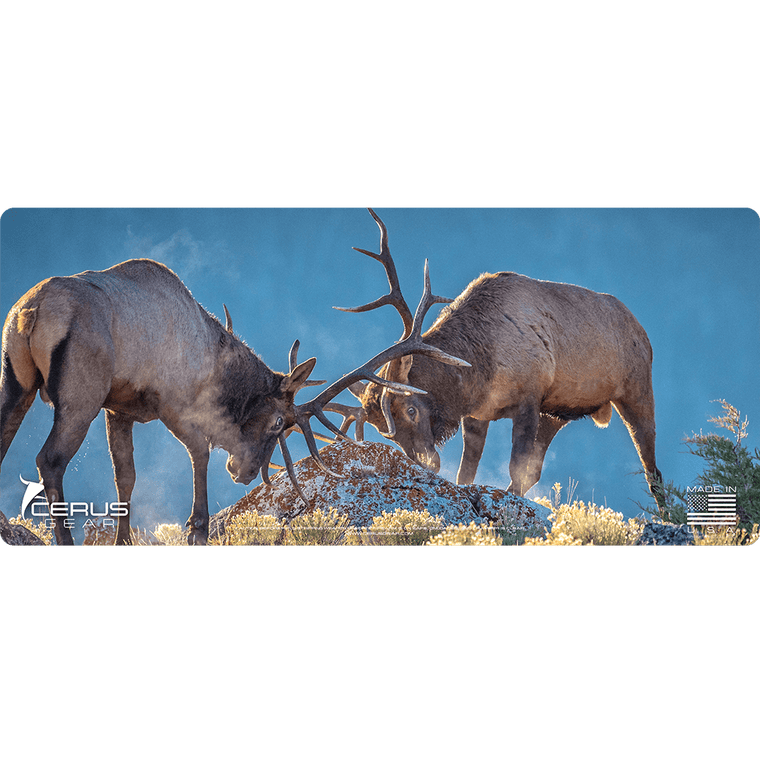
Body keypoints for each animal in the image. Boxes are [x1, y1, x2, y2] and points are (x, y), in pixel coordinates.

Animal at [0, 257, 466, 547]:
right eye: (279, 421)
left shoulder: (119, 409)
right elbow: (200, 460)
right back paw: (62, 540)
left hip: (16, 383)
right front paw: (197, 531)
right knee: (50, 459)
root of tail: (30, 313)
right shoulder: (174, 404)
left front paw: (124, 542)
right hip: (80, 393)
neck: (216, 363)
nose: (243, 473)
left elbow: (126, 478)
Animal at [335, 207, 666, 514]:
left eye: (411, 409)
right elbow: (467, 473)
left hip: (636, 391)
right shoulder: (478, 415)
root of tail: (644, 332)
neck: (479, 370)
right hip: (555, 414)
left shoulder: (529, 400)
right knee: (538, 471)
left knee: (653, 471)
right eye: (384, 432)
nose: (426, 464)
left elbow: (515, 468)